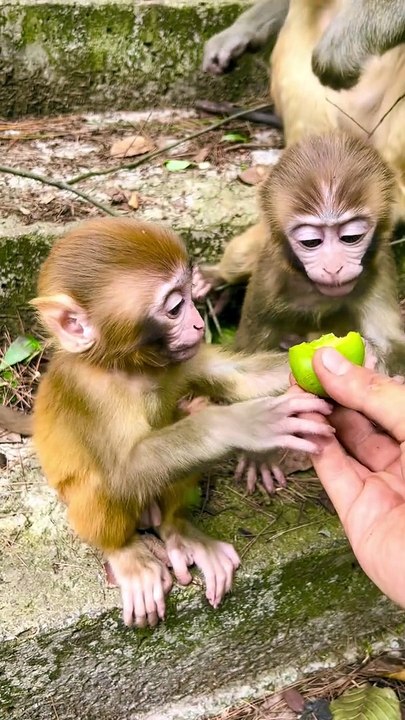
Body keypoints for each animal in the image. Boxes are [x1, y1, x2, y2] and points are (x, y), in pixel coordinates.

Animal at [31, 217, 333, 628]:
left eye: (190, 297)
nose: (198, 324)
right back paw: (124, 551)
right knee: (103, 485)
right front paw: (238, 424)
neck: (129, 368)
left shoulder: (184, 356)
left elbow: (239, 379)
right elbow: (122, 472)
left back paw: (178, 530)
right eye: (175, 306)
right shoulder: (88, 391)